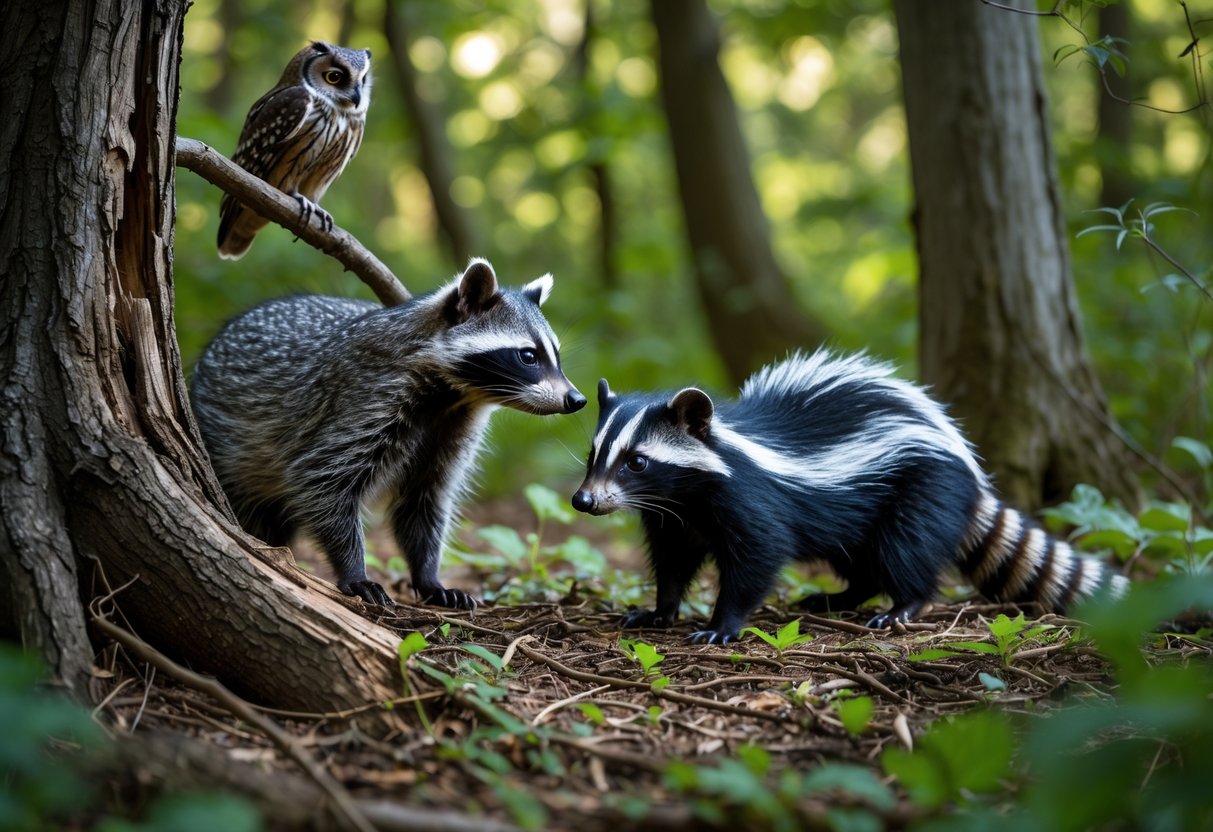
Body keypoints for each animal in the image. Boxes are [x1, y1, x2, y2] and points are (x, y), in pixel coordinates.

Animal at [192, 258, 585, 608]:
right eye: (528, 356)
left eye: (556, 355)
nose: (576, 399)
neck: (453, 396)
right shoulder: (367, 397)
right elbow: (322, 481)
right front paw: (354, 570)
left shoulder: (453, 428)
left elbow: (425, 498)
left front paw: (428, 575)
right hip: (230, 442)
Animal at [572, 350, 1128, 642]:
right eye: (593, 453)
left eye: (638, 461)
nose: (585, 501)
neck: (689, 492)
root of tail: (962, 457)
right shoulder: (673, 516)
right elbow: (672, 563)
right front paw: (658, 611)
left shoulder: (746, 500)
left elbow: (757, 559)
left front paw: (721, 626)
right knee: (862, 567)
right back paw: (833, 598)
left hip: (920, 488)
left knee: (907, 553)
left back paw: (901, 608)